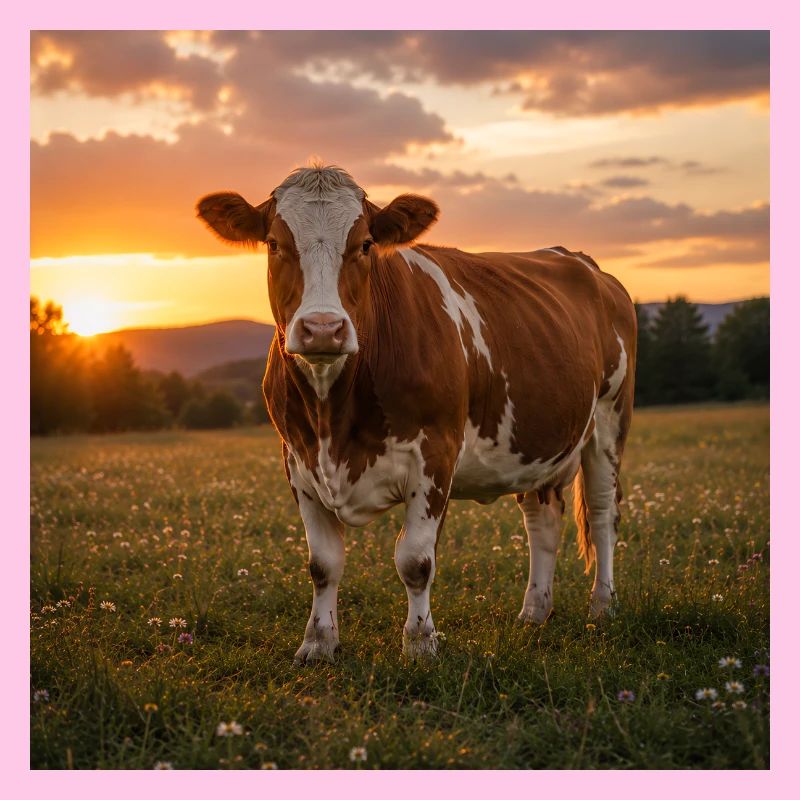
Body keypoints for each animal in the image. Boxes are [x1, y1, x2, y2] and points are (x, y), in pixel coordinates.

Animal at [196, 164, 637, 663]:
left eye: (366, 243)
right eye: (273, 243)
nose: (323, 329)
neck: (334, 420)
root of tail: (580, 261)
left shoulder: (435, 454)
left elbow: (415, 560)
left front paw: (421, 642)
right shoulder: (297, 459)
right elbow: (323, 563)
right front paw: (318, 642)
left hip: (609, 421)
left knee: (602, 514)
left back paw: (602, 606)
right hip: (538, 440)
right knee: (542, 518)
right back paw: (533, 612)